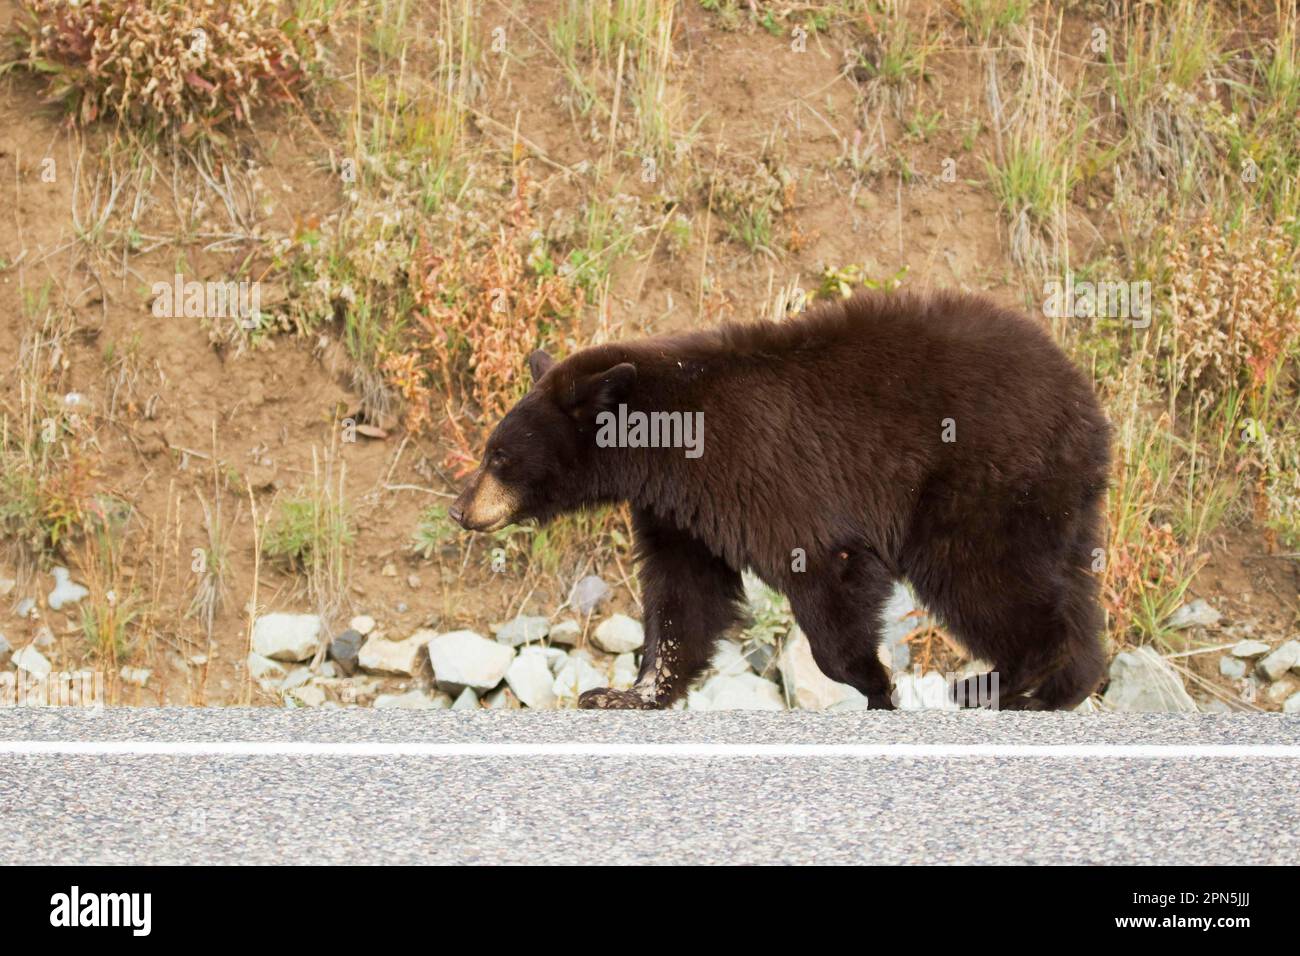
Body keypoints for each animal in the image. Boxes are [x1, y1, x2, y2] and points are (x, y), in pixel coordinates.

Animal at [449, 291, 1107, 712]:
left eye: (497, 457)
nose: (460, 509)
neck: (667, 442)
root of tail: (1084, 402)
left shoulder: (764, 475)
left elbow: (824, 567)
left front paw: (876, 684)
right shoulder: (679, 513)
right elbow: (684, 598)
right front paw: (624, 693)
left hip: (979, 480)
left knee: (982, 577)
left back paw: (999, 682)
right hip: (1063, 501)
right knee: (1068, 584)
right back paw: (1061, 688)